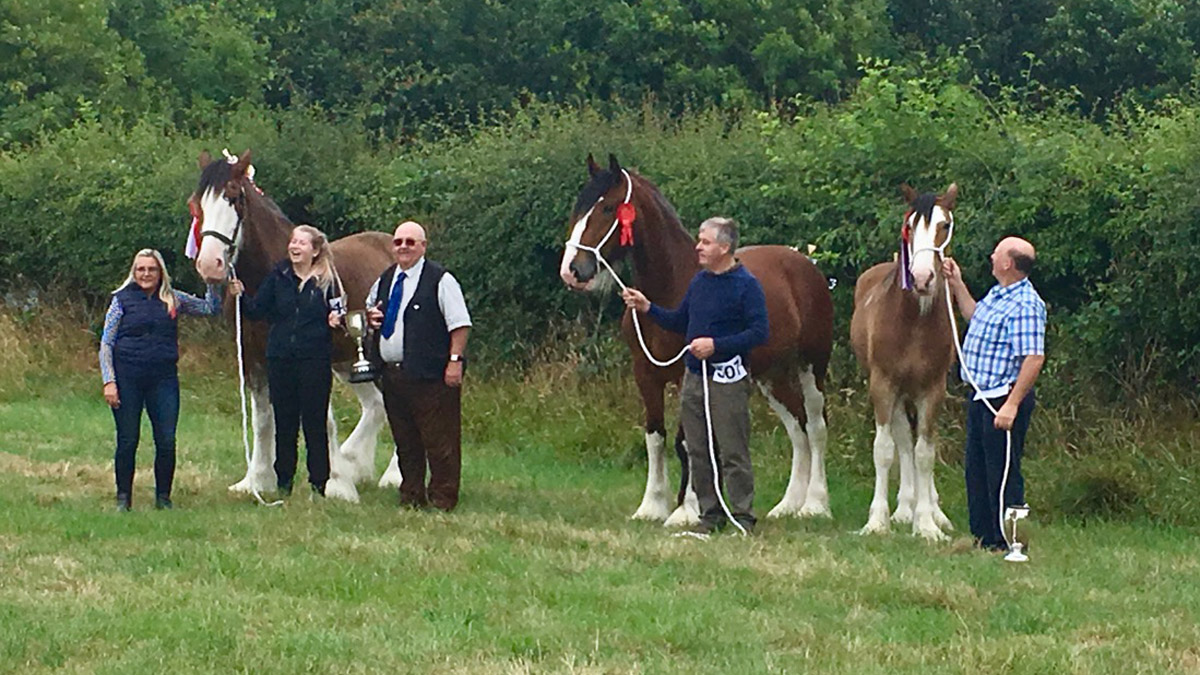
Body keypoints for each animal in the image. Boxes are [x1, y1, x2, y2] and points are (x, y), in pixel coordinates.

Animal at [187, 152, 393, 499]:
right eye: (196, 204)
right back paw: (357, 464)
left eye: (233, 197)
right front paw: (256, 480)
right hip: (351, 361)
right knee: (377, 406)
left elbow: (322, 420)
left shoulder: (313, 359)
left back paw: (393, 476)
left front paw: (336, 484)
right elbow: (263, 419)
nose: (209, 264)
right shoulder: (255, 359)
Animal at [561, 154, 835, 523]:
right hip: (771, 376)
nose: (572, 271)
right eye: (578, 208)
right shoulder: (645, 375)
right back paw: (788, 504)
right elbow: (655, 437)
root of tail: (806, 263)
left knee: (816, 427)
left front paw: (686, 510)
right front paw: (652, 506)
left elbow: (690, 441)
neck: (674, 289)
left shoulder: (688, 374)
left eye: (606, 208)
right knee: (798, 428)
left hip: (812, 365)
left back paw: (815, 504)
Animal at [854, 181, 955, 538]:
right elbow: (885, 450)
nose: (922, 278)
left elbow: (925, 452)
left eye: (944, 225)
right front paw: (877, 521)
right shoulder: (883, 385)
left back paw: (931, 510)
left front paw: (926, 523)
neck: (914, 323)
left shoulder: (933, 389)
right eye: (910, 226)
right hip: (896, 394)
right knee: (901, 440)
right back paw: (902, 509)